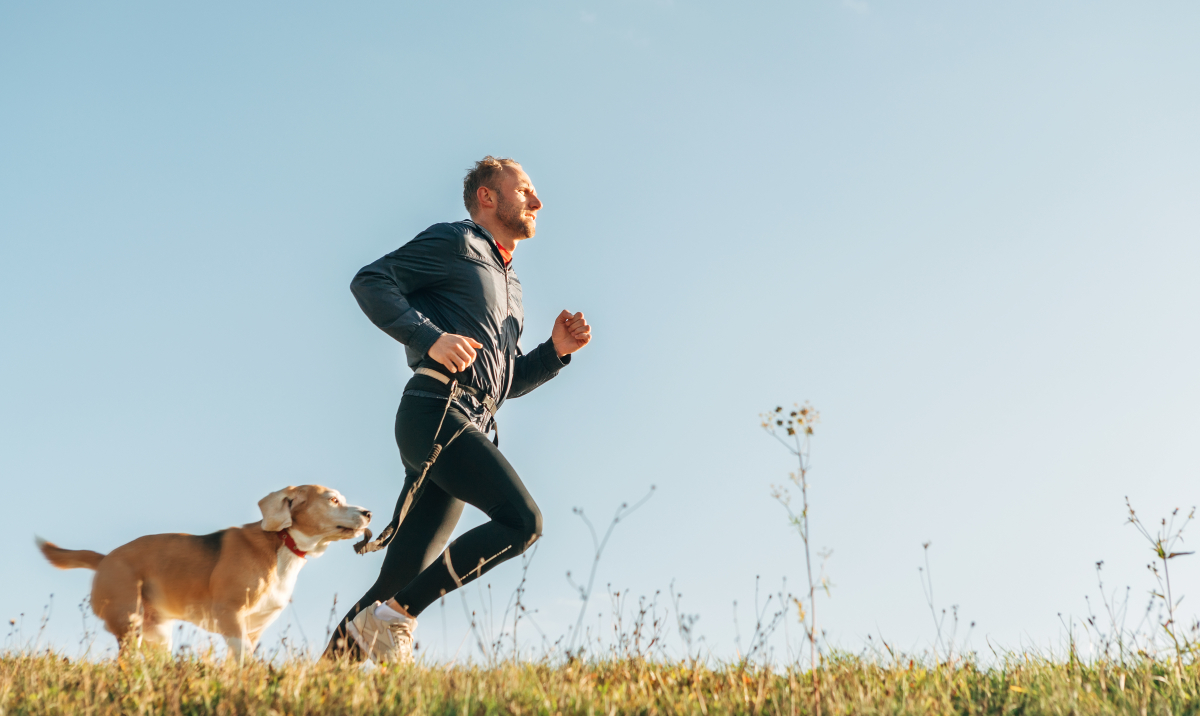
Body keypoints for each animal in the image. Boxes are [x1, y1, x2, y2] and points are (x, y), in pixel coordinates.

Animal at [38, 482, 369, 657]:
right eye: (333, 500)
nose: (368, 513)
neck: (283, 543)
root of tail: (105, 558)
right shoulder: (230, 615)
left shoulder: (253, 630)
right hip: (129, 624)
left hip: (157, 634)